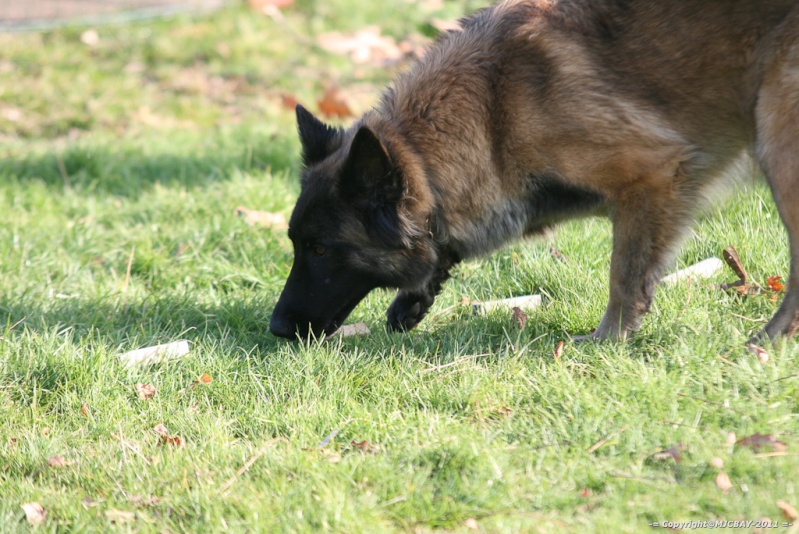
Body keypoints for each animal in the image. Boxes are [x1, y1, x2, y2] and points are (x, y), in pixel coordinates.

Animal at [272, 0, 799, 344]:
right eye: (298, 245)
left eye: (321, 249)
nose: (275, 328)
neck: (492, 113)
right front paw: (414, 297)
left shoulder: (652, 176)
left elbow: (624, 275)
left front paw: (607, 341)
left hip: (779, 150)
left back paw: (769, 340)